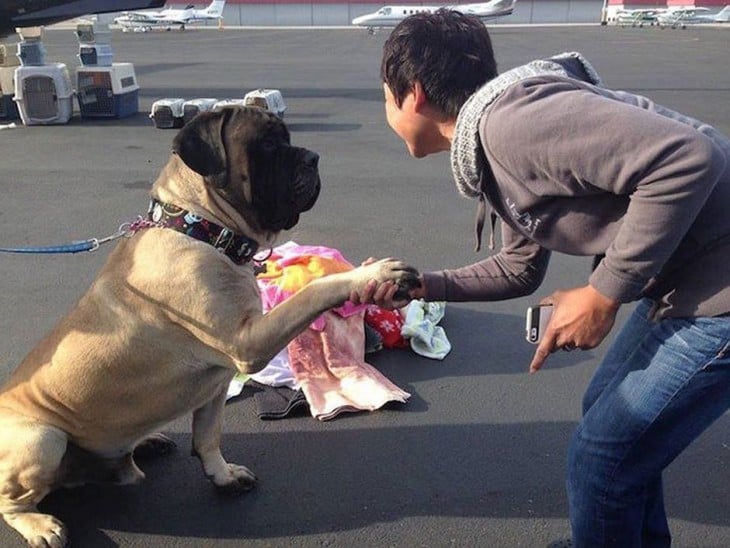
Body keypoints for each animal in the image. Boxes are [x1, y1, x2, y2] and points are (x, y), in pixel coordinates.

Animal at [0, 105, 418, 544]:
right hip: (42, 438)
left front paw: (223, 476)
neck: (203, 230)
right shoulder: (249, 341)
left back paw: (144, 444)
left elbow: (208, 435)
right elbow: (313, 292)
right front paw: (369, 275)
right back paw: (39, 524)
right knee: (10, 501)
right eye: (267, 144)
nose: (313, 158)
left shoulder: (217, 381)